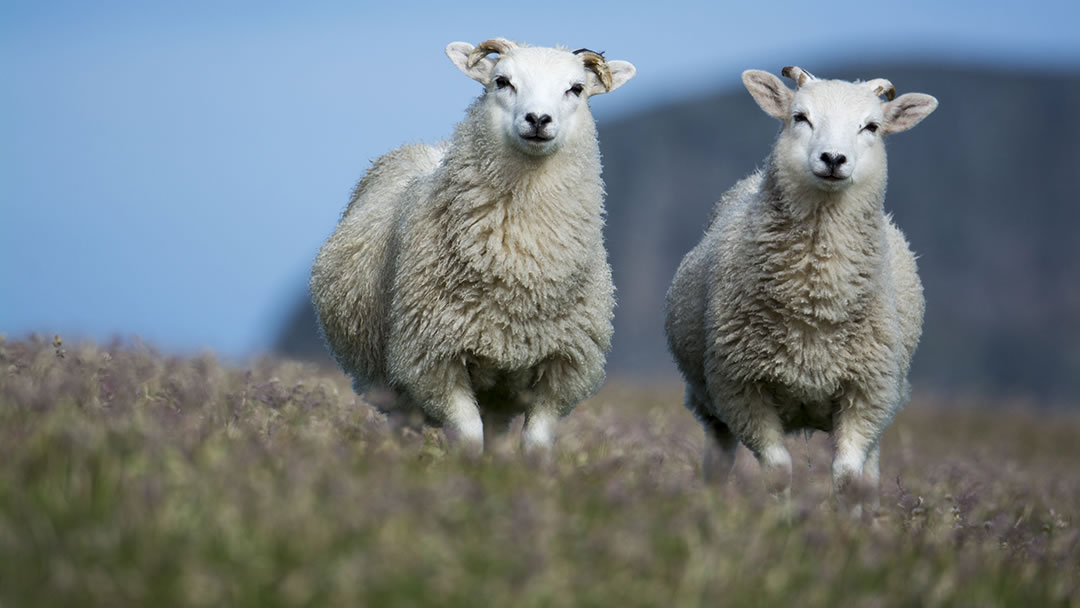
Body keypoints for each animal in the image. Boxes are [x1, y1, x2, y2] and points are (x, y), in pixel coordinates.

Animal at [308, 36, 635, 457]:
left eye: (576, 88)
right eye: (502, 81)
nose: (538, 119)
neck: (520, 265)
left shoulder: (562, 368)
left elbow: (535, 445)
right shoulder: (434, 360)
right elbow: (467, 437)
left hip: (499, 390)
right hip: (388, 386)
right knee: (402, 424)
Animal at [660, 65, 933, 509]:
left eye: (872, 126)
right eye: (800, 117)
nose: (834, 159)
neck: (814, 300)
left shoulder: (868, 393)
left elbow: (847, 477)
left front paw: (846, 525)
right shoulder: (741, 389)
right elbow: (777, 471)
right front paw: (781, 520)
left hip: (886, 399)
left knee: (870, 472)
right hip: (709, 402)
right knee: (718, 459)